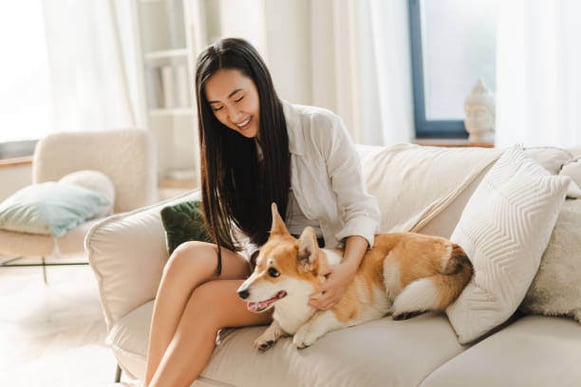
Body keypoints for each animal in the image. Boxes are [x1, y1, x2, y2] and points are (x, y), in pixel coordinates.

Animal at [236, 205, 472, 354]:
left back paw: (405, 311)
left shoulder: (343, 309)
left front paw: (304, 333)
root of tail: (454, 246)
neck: (297, 301)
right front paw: (266, 337)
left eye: (274, 272)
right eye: (256, 266)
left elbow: (321, 317)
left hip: (393, 265)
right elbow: (276, 324)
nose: (241, 293)